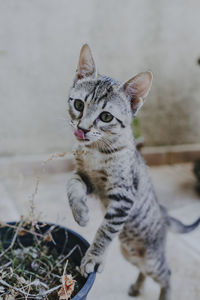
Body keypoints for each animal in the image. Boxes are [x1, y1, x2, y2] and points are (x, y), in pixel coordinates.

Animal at [67, 44, 200, 300]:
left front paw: (93, 257)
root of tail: (164, 214)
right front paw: (81, 213)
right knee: (144, 271)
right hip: (129, 253)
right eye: (78, 105)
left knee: (167, 273)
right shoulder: (88, 179)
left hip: (151, 259)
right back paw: (137, 286)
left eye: (106, 116)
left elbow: (105, 230)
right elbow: (72, 186)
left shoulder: (124, 196)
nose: (82, 129)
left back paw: (164, 295)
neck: (95, 150)